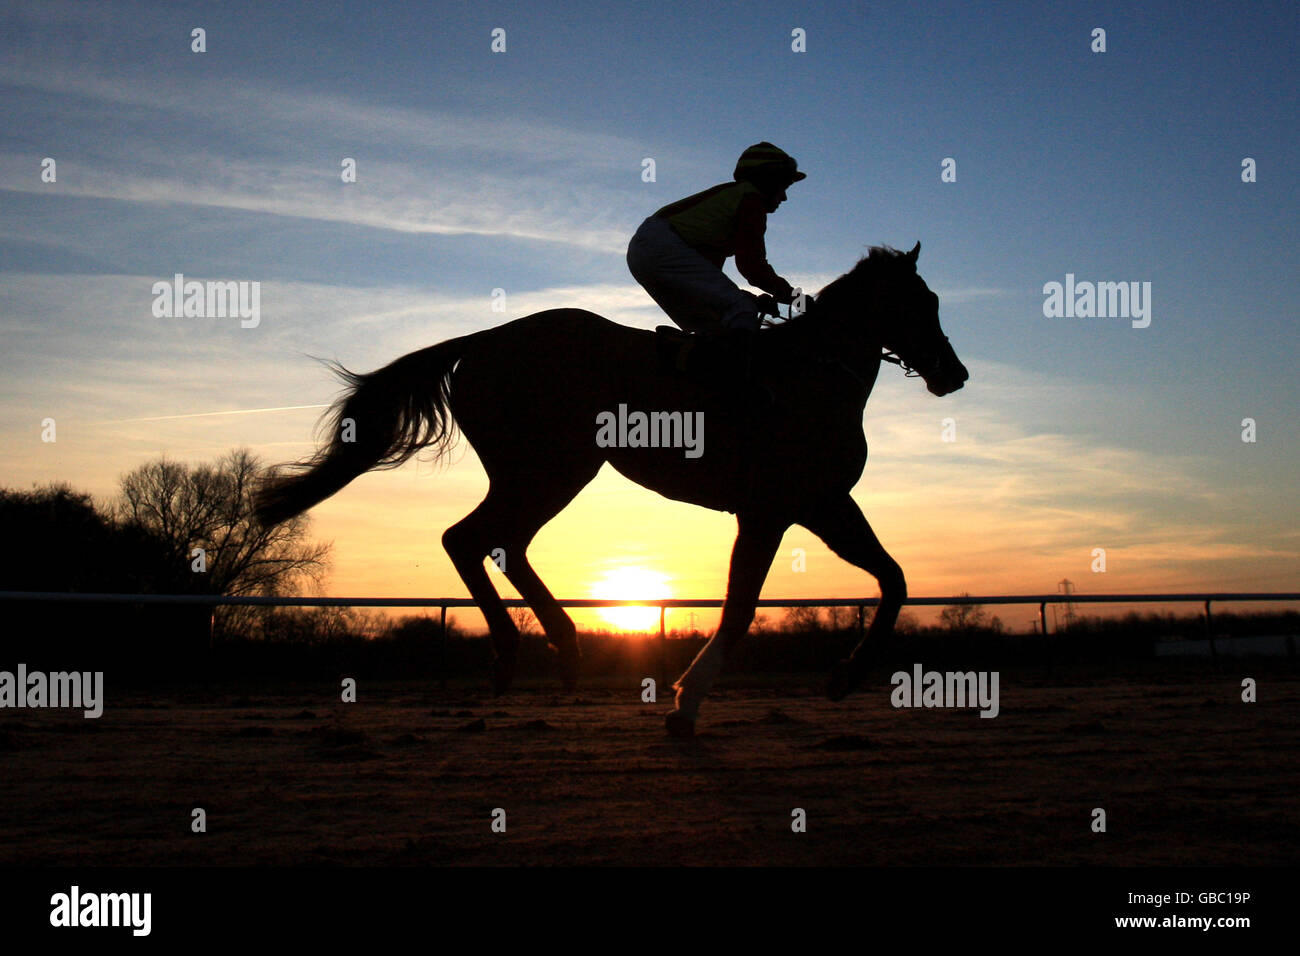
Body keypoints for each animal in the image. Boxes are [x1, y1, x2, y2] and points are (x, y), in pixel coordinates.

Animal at [253, 241, 968, 737]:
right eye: (921, 304)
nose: (953, 374)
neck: (810, 375)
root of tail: (482, 340)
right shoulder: (769, 511)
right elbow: (740, 609)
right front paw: (685, 707)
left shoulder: (821, 503)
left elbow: (894, 578)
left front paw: (846, 676)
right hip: (550, 466)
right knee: (469, 538)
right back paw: (519, 650)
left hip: (545, 471)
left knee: (497, 541)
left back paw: (561, 645)